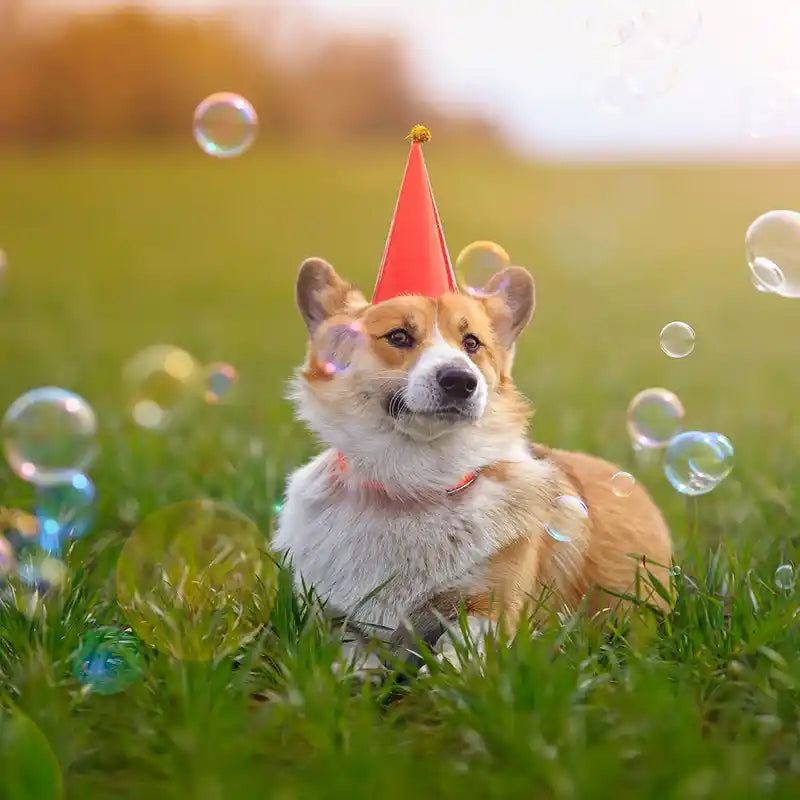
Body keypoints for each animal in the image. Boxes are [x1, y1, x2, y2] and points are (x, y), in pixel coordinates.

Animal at [276, 255, 676, 664]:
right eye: (399, 336)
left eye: (472, 344)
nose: (460, 380)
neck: (412, 486)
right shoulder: (340, 623)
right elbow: (354, 662)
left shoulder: (489, 610)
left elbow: (452, 661)